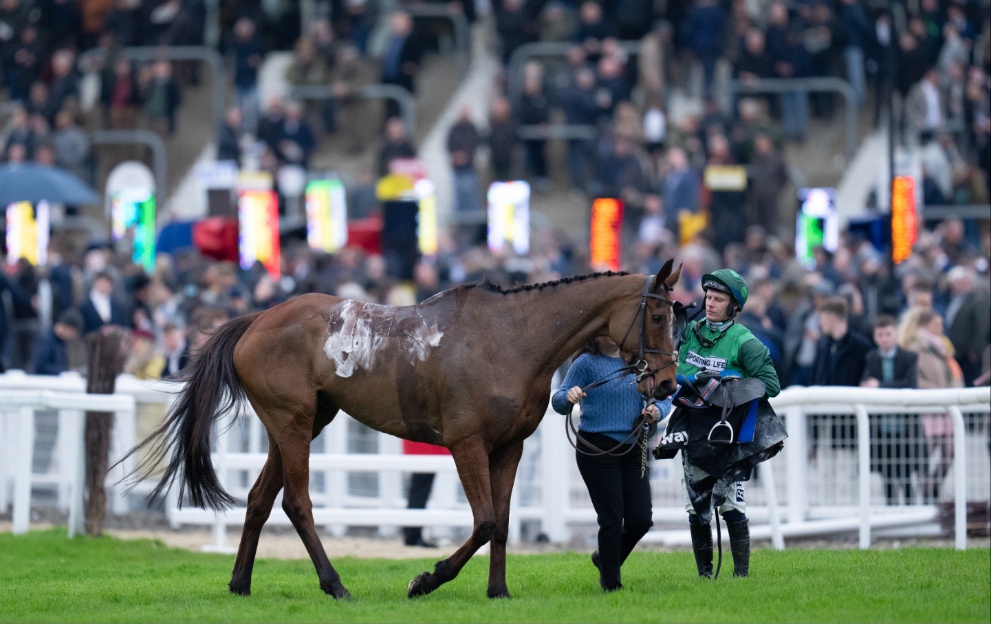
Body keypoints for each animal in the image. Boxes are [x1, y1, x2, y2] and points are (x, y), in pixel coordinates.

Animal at [128, 260, 684, 600]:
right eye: (658, 315)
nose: (667, 383)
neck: (511, 339)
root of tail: (258, 319)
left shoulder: (509, 448)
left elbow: (503, 523)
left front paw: (498, 591)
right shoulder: (466, 444)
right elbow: (484, 521)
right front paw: (426, 580)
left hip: (302, 423)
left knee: (260, 498)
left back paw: (240, 583)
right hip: (293, 423)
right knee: (296, 502)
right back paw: (335, 584)